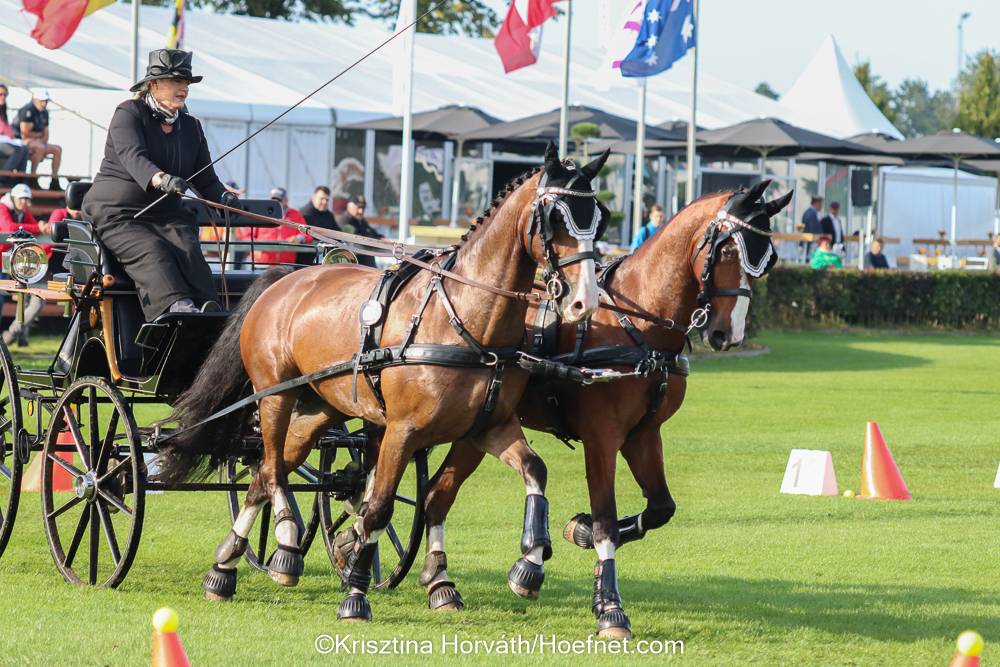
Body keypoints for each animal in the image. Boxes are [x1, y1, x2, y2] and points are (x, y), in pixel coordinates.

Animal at [153, 142, 610, 623]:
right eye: (556, 216)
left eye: (599, 217)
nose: (585, 302)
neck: (465, 320)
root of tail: (285, 281)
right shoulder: (402, 431)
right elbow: (379, 506)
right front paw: (355, 592)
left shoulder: (488, 427)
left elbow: (515, 475)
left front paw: (522, 564)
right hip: (275, 397)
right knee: (274, 468)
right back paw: (284, 540)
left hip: (320, 408)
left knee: (264, 473)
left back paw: (229, 566)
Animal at [410, 181, 792, 638]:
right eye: (731, 250)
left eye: (767, 260)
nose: (727, 334)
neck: (636, 325)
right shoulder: (601, 437)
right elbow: (606, 519)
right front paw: (609, 607)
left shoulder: (644, 435)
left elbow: (660, 508)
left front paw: (578, 530)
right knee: (436, 489)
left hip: (480, 426)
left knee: (437, 492)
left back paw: (437, 580)